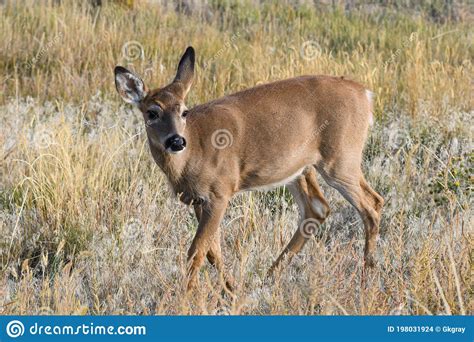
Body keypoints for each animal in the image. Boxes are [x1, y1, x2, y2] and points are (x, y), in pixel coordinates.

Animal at [114, 46, 382, 292]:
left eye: (184, 111)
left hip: (341, 157)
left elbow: (196, 252)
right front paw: (231, 288)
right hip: (299, 168)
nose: (177, 141)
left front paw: (184, 297)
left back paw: (367, 277)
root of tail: (366, 95)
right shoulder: (198, 199)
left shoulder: (219, 191)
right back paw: (269, 277)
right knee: (317, 208)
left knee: (372, 204)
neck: (192, 155)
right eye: (152, 113)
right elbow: (212, 251)